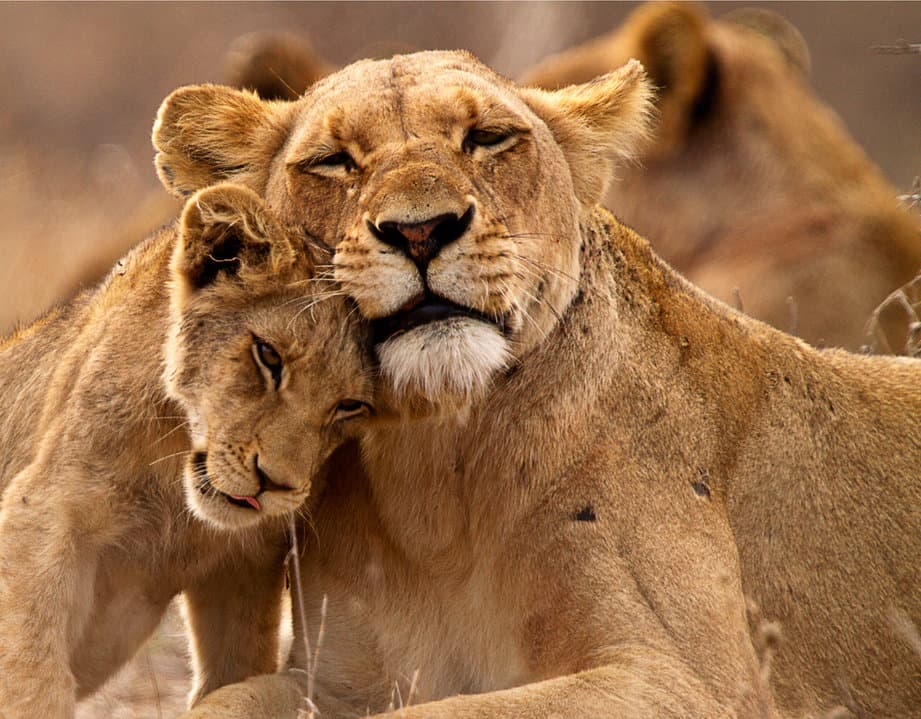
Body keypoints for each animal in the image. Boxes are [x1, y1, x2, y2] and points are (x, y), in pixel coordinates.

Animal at [0, 183, 376, 717]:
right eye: (268, 356)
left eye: (350, 405)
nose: (274, 484)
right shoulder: (41, 515)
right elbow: (33, 675)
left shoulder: (244, 565)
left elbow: (236, 672)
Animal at [149, 50, 921, 718]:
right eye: (334, 160)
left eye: (487, 138)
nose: (421, 231)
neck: (435, 479)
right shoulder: (335, 680)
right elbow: (225, 700)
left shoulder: (692, 683)